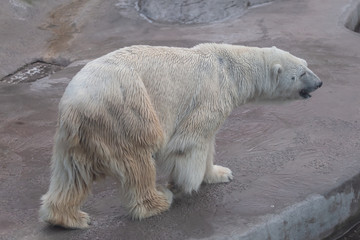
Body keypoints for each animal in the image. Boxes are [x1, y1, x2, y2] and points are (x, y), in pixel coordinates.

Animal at [38, 43, 320, 229]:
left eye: (307, 65)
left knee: (73, 173)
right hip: (126, 110)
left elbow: (209, 144)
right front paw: (185, 184)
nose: (319, 83)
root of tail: (74, 103)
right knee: (137, 160)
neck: (231, 67)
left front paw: (219, 173)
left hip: (80, 133)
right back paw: (159, 200)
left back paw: (68, 218)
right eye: (301, 73)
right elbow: (190, 142)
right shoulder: (210, 93)